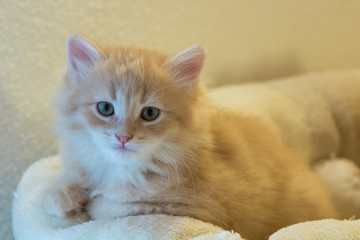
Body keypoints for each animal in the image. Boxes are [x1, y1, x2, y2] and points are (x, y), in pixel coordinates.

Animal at [43, 34, 338, 240]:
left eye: (150, 113)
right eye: (105, 108)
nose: (123, 137)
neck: (124, 169)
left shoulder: (198, 209)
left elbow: (111, 206)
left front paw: (91, 203)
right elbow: (72, 177)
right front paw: (61, 194)